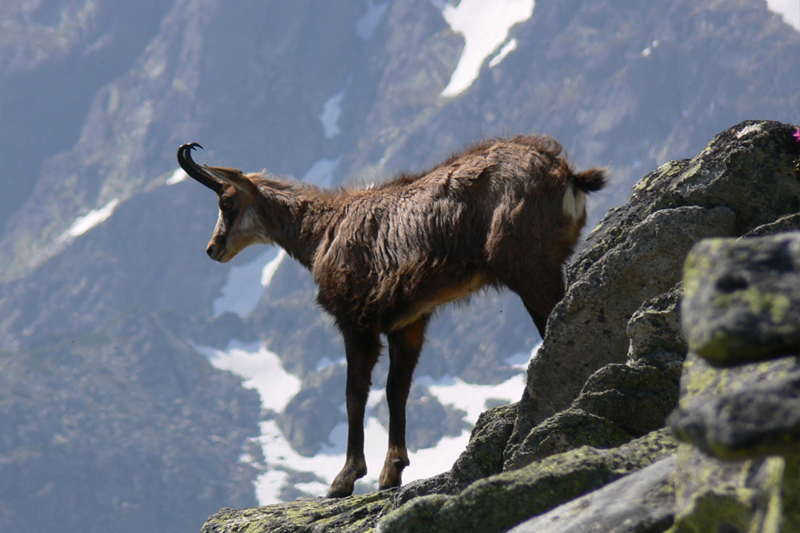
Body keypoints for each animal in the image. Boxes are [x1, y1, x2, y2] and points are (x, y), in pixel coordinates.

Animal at [177, 136, 606, 498]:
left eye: (226, 202)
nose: (212, 249)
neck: (322, 232)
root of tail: (566, 175)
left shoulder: (356, 321)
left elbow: (354, 394)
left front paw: (345, 478)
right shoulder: (408, 321)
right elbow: (396, 390)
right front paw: (392, 472)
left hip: (529, 268)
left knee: (555, 322)